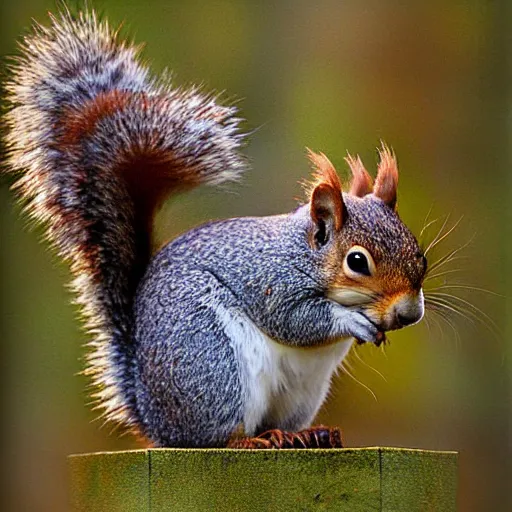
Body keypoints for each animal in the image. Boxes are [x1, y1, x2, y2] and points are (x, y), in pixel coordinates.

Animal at [4, 7, 426, 448]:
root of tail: (155, 418)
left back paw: (307, 434)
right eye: (357, 262)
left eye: (421, 256)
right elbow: (294, 320)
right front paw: (351, 321)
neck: (303, 253)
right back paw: (249, 440)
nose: (409, 313)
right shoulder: (270, 282)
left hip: (301, 392)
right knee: (216, 435)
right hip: (213, 362)